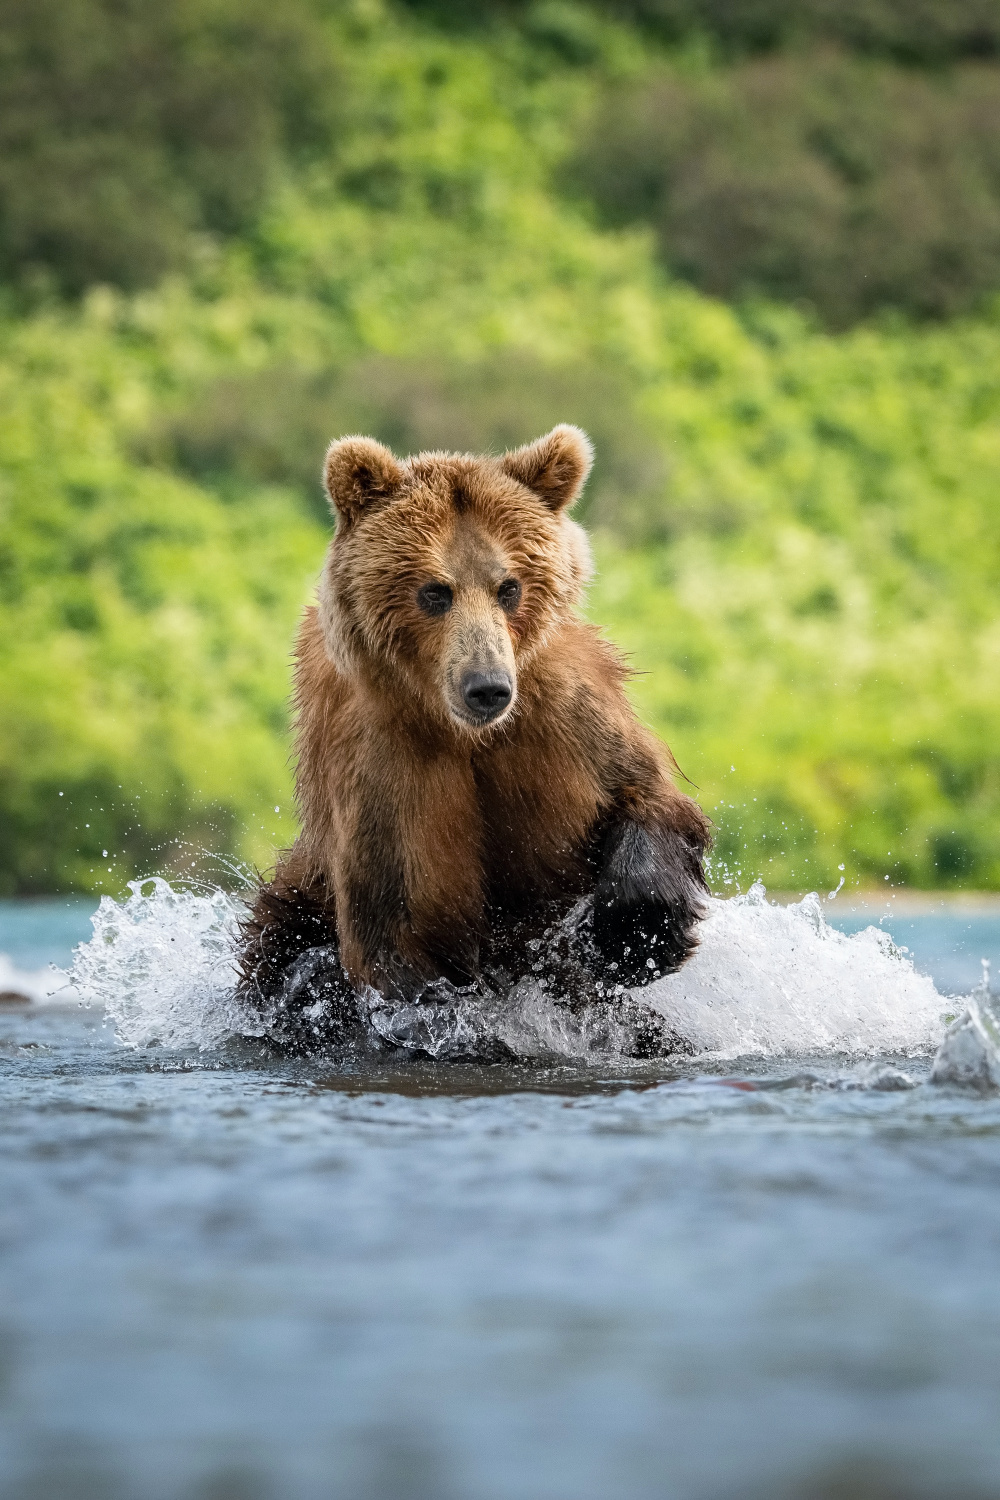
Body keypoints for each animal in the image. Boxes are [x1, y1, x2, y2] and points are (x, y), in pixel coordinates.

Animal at [239, 423, 710, 1044]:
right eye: (434, 591)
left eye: (509, 586)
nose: (487, 687)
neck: (461, 731)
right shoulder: (384, 760)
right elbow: (399, 929)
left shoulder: (562, 717)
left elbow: (644, 797)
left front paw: (633, 932)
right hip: (295, 901)